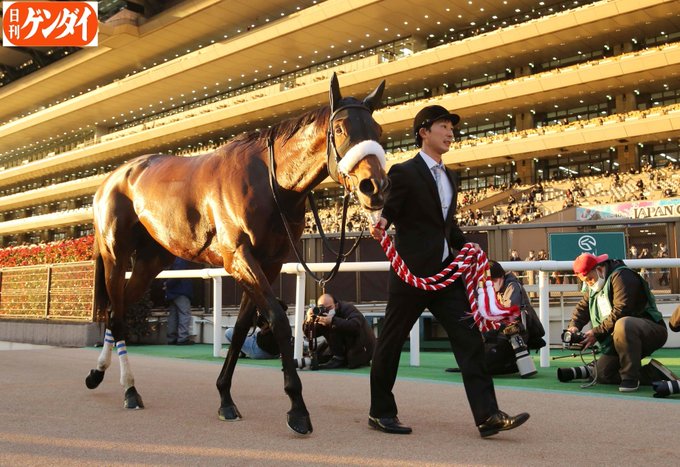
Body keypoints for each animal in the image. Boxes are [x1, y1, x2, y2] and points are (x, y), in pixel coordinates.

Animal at [85, 73, 389, 435]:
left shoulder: (269, 264)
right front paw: (298, 409)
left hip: (150, 261)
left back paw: (101, 375)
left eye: (378, 130)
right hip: (116, 256)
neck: (271, 184)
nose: (375, 187)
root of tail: (113, 177)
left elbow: (243, 327)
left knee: (116, 312)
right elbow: (277, 318)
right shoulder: (238, 256)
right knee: (116, 315)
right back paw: (128, 389)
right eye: (341, 128)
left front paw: (225, 398)